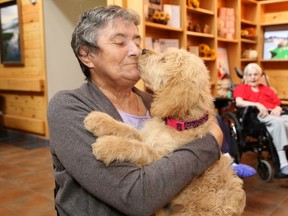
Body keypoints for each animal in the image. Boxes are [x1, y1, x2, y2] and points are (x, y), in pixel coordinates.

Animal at [84, 48, 246, 215]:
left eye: (163, 60)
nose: (143, 50)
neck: (176, 123)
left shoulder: (161, 157)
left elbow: (138, 147)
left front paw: (107, 145)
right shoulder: (146, 136)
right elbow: (129, 130)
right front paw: (99, 119)